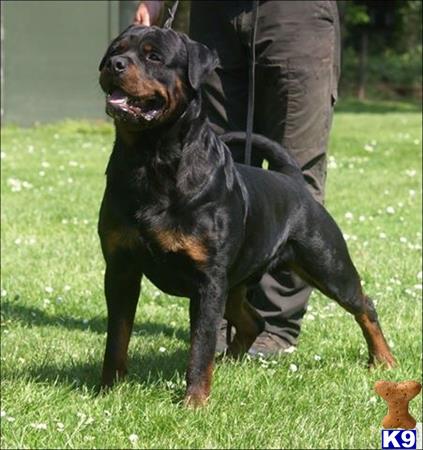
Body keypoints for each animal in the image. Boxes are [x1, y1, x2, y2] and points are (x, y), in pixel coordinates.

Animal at [99, 24, 398, 408]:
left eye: (154, 56)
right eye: (116, 50)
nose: (116, 64)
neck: (150, 159)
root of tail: (294, 181)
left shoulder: (208, 281)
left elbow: (200, 346)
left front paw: (194, 402)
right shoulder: (121, 270)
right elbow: (117, 337)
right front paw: (108, 389)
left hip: (327, 264)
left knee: (364, 306)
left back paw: (383, 359)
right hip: (237, 282)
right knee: (252, 321)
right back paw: (229, 361)